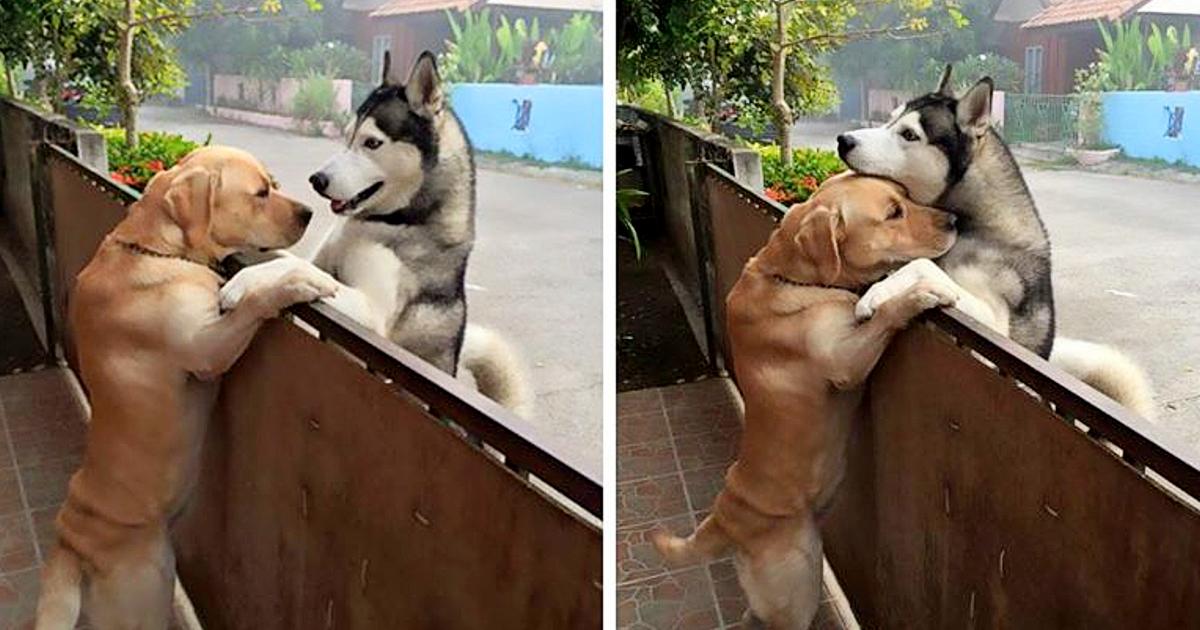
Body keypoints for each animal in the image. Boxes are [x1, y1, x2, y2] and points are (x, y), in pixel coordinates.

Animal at [223, 52, 532, 417]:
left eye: (372, 143)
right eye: (347, 137)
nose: (317, 180)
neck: (391, 222)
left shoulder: (373, 316)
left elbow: (297, 267)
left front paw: (244, 282)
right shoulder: (323, 259)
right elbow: (287, 258)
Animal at [840, 66, 1156, 417]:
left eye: (909, 135)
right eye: (890, 118)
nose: (843, 140)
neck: (978, 226)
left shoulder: (993, 324)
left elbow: (923, 265)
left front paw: (876, 294)